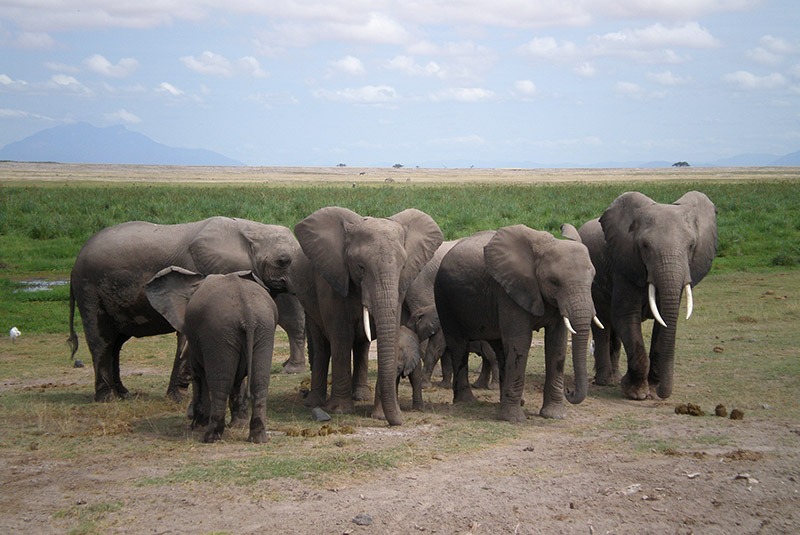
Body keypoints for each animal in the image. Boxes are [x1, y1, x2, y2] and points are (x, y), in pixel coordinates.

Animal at [67, 216, 300, 404]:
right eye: (283, 261)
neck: (252, 229)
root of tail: (75, 263)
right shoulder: (199, 270)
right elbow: (188, 335)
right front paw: (179, 399)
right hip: (89, 289)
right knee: (101, 340)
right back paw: (107, 398)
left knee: (116, 343)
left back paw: (124, 394)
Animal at [144, 268, 278, 444]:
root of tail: (247, 313)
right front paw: (236, 425)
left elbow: (199, 375)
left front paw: (197, 425)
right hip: (264, 328)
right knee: (259, 382)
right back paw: (258, 438)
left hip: (219, 332)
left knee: (219, 384)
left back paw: (210, 437)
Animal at [294, 206, 444, 428]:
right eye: (360, 267)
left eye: (403, 266)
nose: (400, 420)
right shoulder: (333, 278)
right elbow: (341, 336)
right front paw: (340, 410)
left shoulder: (401, 287)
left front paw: (380, 415)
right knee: (321, 344)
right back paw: (315, 402)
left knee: (362, 346)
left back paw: (360, 396)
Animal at [432, 226, 600, 422]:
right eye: (554, 282)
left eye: (593, 280)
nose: (569, 391)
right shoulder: (510, 291)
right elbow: (520, 342)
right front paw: (514, 419)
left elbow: (557, 345)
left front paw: (554, 415)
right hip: (444, 299)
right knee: (459, 346)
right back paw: (466, 402)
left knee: (500, 349)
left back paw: (512, 402)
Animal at [564, 191, 720, 400]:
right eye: (645, 246)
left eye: (691, 245)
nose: (662, 393)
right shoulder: (625, 264)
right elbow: (626, 317)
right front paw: (636, 393)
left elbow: (665, 321)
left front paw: (652, 388)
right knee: (603, 323)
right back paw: (606, 381)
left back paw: (614, 378)